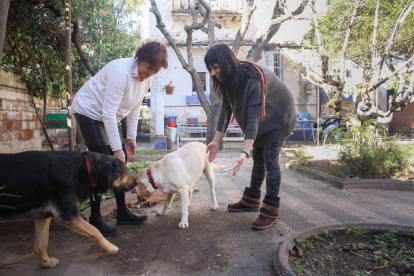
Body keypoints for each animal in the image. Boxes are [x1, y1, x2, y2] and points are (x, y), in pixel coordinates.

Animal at [0, 150, 137, 268]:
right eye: (124, 171)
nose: (136, 182)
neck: (85, 170)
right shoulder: (67, 215)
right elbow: (94, 230)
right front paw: (110, 247)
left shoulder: (43, 215)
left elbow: (42, 242)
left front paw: (46, 262)